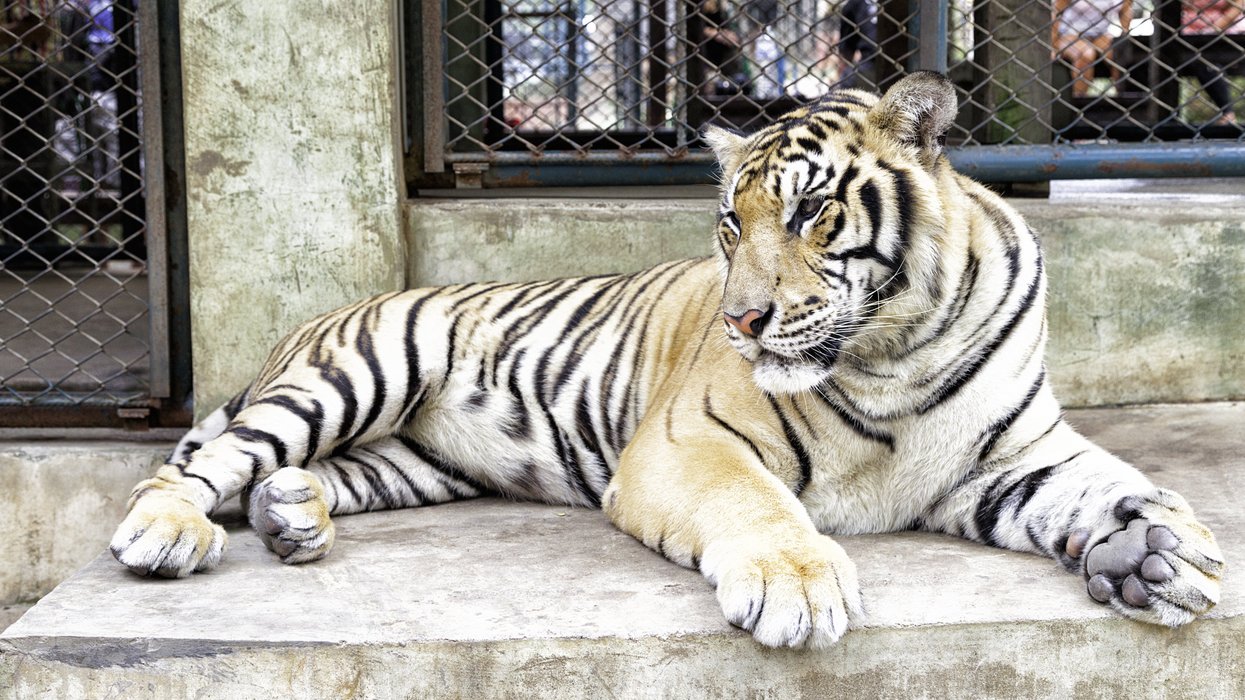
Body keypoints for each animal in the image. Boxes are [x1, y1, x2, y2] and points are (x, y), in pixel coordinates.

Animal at [110, 71, 1223, 649]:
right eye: (732, 224)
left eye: (811, 214)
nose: (742, 321)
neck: (897, 348)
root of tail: (317, 321)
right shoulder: (689, 443)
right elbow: (756, 505)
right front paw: (799, 586)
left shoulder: (1009, 459)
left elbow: (1114, 484)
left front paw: (1163, 552)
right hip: (361, 371)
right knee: (202, 462)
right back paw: (167, 535)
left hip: (413, 458)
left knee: (295, 474)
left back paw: (290, 517)